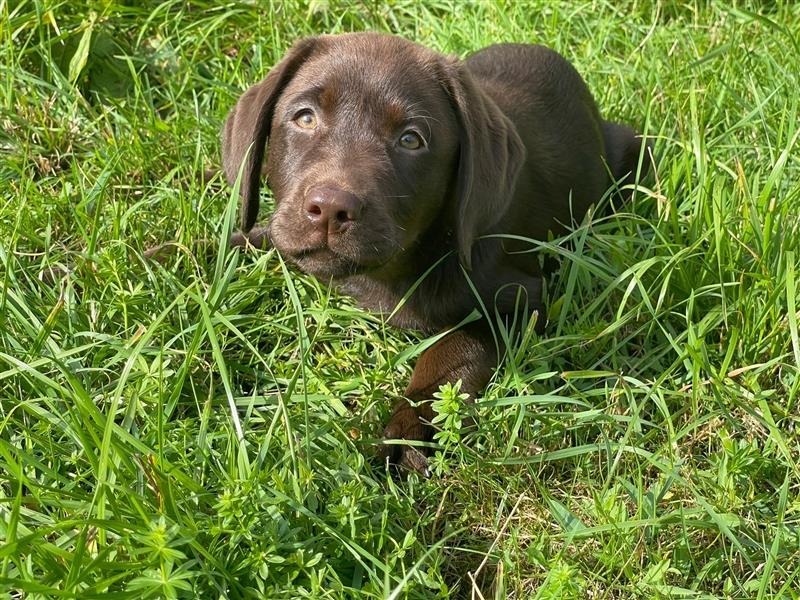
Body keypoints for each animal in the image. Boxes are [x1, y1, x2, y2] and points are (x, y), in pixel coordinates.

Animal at [220, 31, 648, 474]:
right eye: (304, 118)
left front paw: (409, 426)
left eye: (411, 140)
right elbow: (253, 237)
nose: (331, 208)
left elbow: (450, 354)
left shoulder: (517, 300)